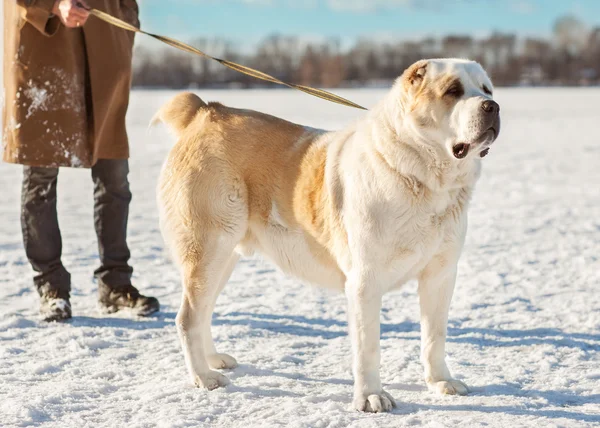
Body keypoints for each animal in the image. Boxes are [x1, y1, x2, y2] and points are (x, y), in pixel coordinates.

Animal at [152, 58, 500, 412]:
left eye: (487, 90)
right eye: (453, 90)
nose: (492, 106)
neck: (424, 179)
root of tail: (206, 111)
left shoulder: (440, 275)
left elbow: (434, 336)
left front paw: (441, 382)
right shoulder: (365, 282)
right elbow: (368, 347)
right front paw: (371, 396)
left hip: (223, 257)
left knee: (204, 311)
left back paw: (214, 361)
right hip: (208, 250)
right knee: (188, 318)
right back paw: (204, 377)